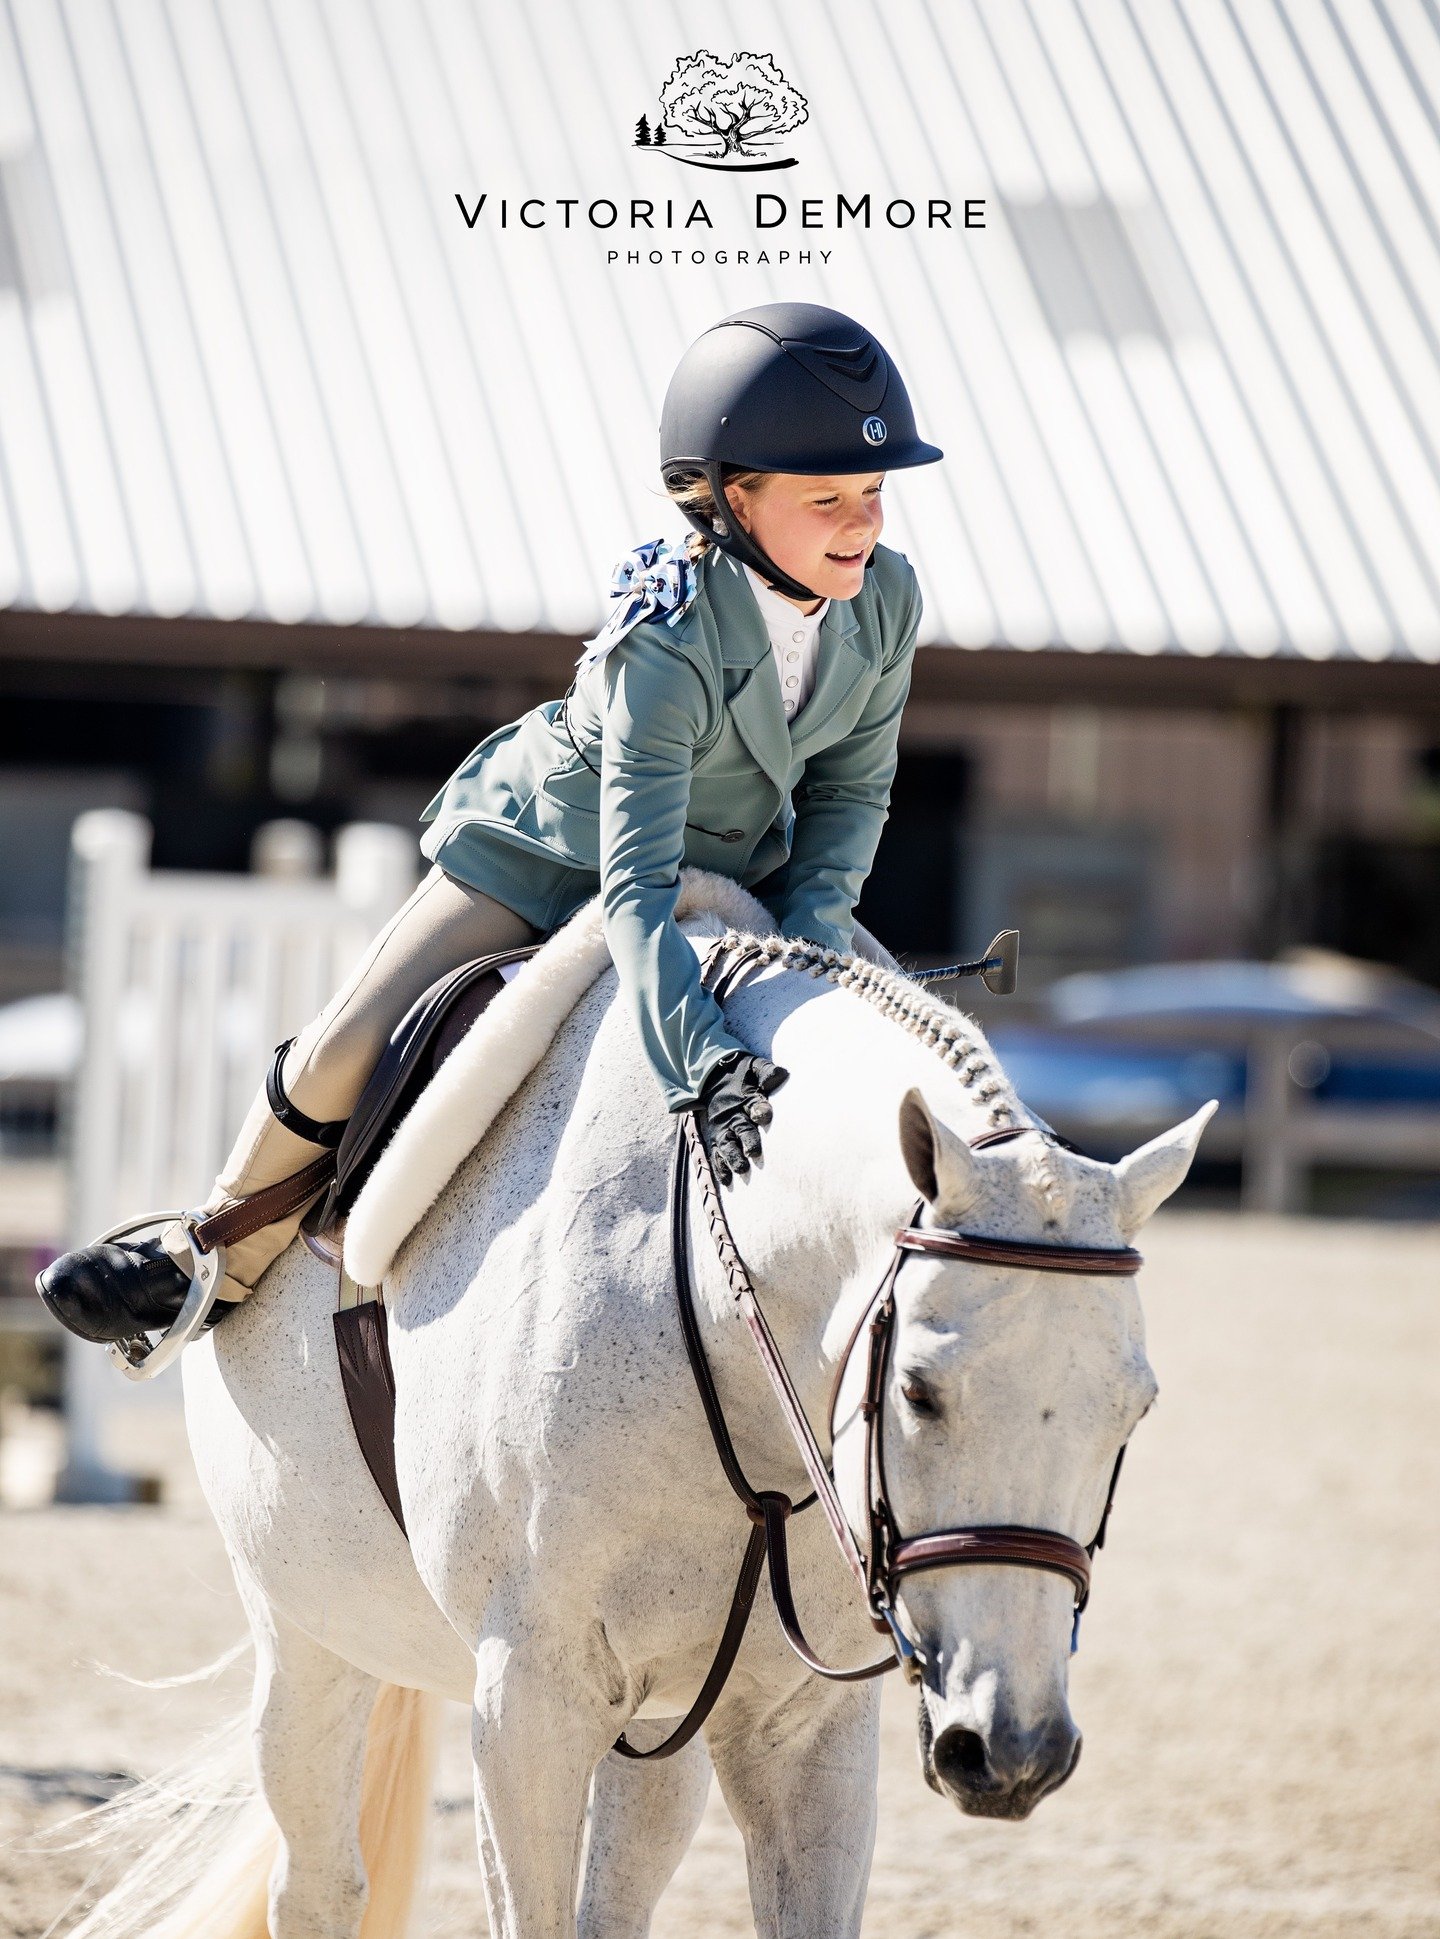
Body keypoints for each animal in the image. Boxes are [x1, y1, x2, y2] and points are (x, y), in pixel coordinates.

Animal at [54, 878, 1211, 1939]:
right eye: (919, 1393)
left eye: (1135, 1411)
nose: (1012, 1750)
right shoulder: (530, 1705)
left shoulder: (806, 1724)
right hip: (309, 1637)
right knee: (321, 1883)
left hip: (665, 1710)